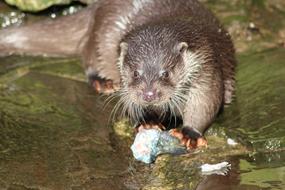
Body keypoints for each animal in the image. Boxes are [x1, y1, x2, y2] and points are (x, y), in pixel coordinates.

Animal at [0, 0, 235, 148]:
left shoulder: (207, 69)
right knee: (88, 54)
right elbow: (130, 101)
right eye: (136, 73)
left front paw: (190, 133)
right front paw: (147, 120)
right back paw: (102, 81)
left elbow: (205, 104)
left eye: (166, 73)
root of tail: (95, 7)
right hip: (102, 34)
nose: (149, 95)